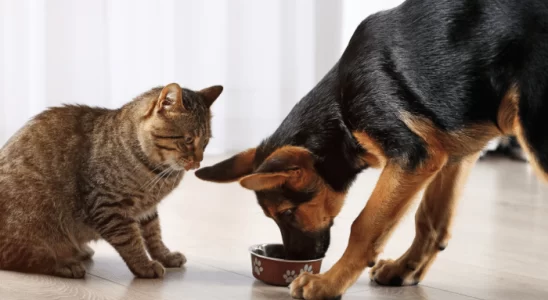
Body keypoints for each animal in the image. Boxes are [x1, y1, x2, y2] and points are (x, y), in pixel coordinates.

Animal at [0, 82, 223, 278]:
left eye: (205, 142)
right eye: (188, 140)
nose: (198, 163)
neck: (158, 172)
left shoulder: (146, 210)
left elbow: (154, 235)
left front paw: (165, 256)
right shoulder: (109, 206)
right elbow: (130, 240)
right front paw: (144, 265)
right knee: (21, 257)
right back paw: (65, 264)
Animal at [195, 0, 548, 298]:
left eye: (287, 213)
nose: (295, 259)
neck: (340, 109)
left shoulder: (413, 157)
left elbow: (364, 226)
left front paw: (328, 283)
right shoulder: (454, 153)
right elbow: (431, 221)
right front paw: (405, 269)